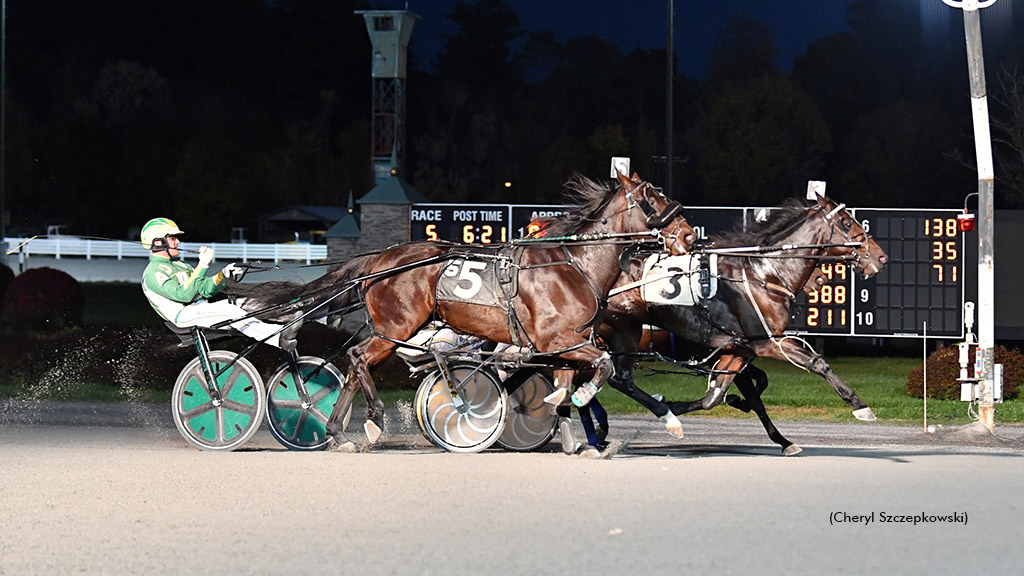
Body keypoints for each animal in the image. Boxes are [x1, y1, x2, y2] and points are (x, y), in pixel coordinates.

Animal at [232, 172, 696, 450]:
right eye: (653, 196)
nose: (689, 234)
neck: (573, 265)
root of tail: (381, 257)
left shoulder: (566, 344)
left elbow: (576, 381)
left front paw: (575, 429)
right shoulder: (557, 339)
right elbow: (604, 366)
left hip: (390, 329)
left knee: (352, 364)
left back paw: (336, 431)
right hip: (396, 326)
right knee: (358, 357)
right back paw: (372, 421)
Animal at [593, 190, 888, 450]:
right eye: (847, 222)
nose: (880, 256)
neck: (764, 274)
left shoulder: (739, 349)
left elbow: (716, 396)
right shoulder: (768, 342)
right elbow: (815, 364)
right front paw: (859, 406)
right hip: (622, 333)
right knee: (617, 378)